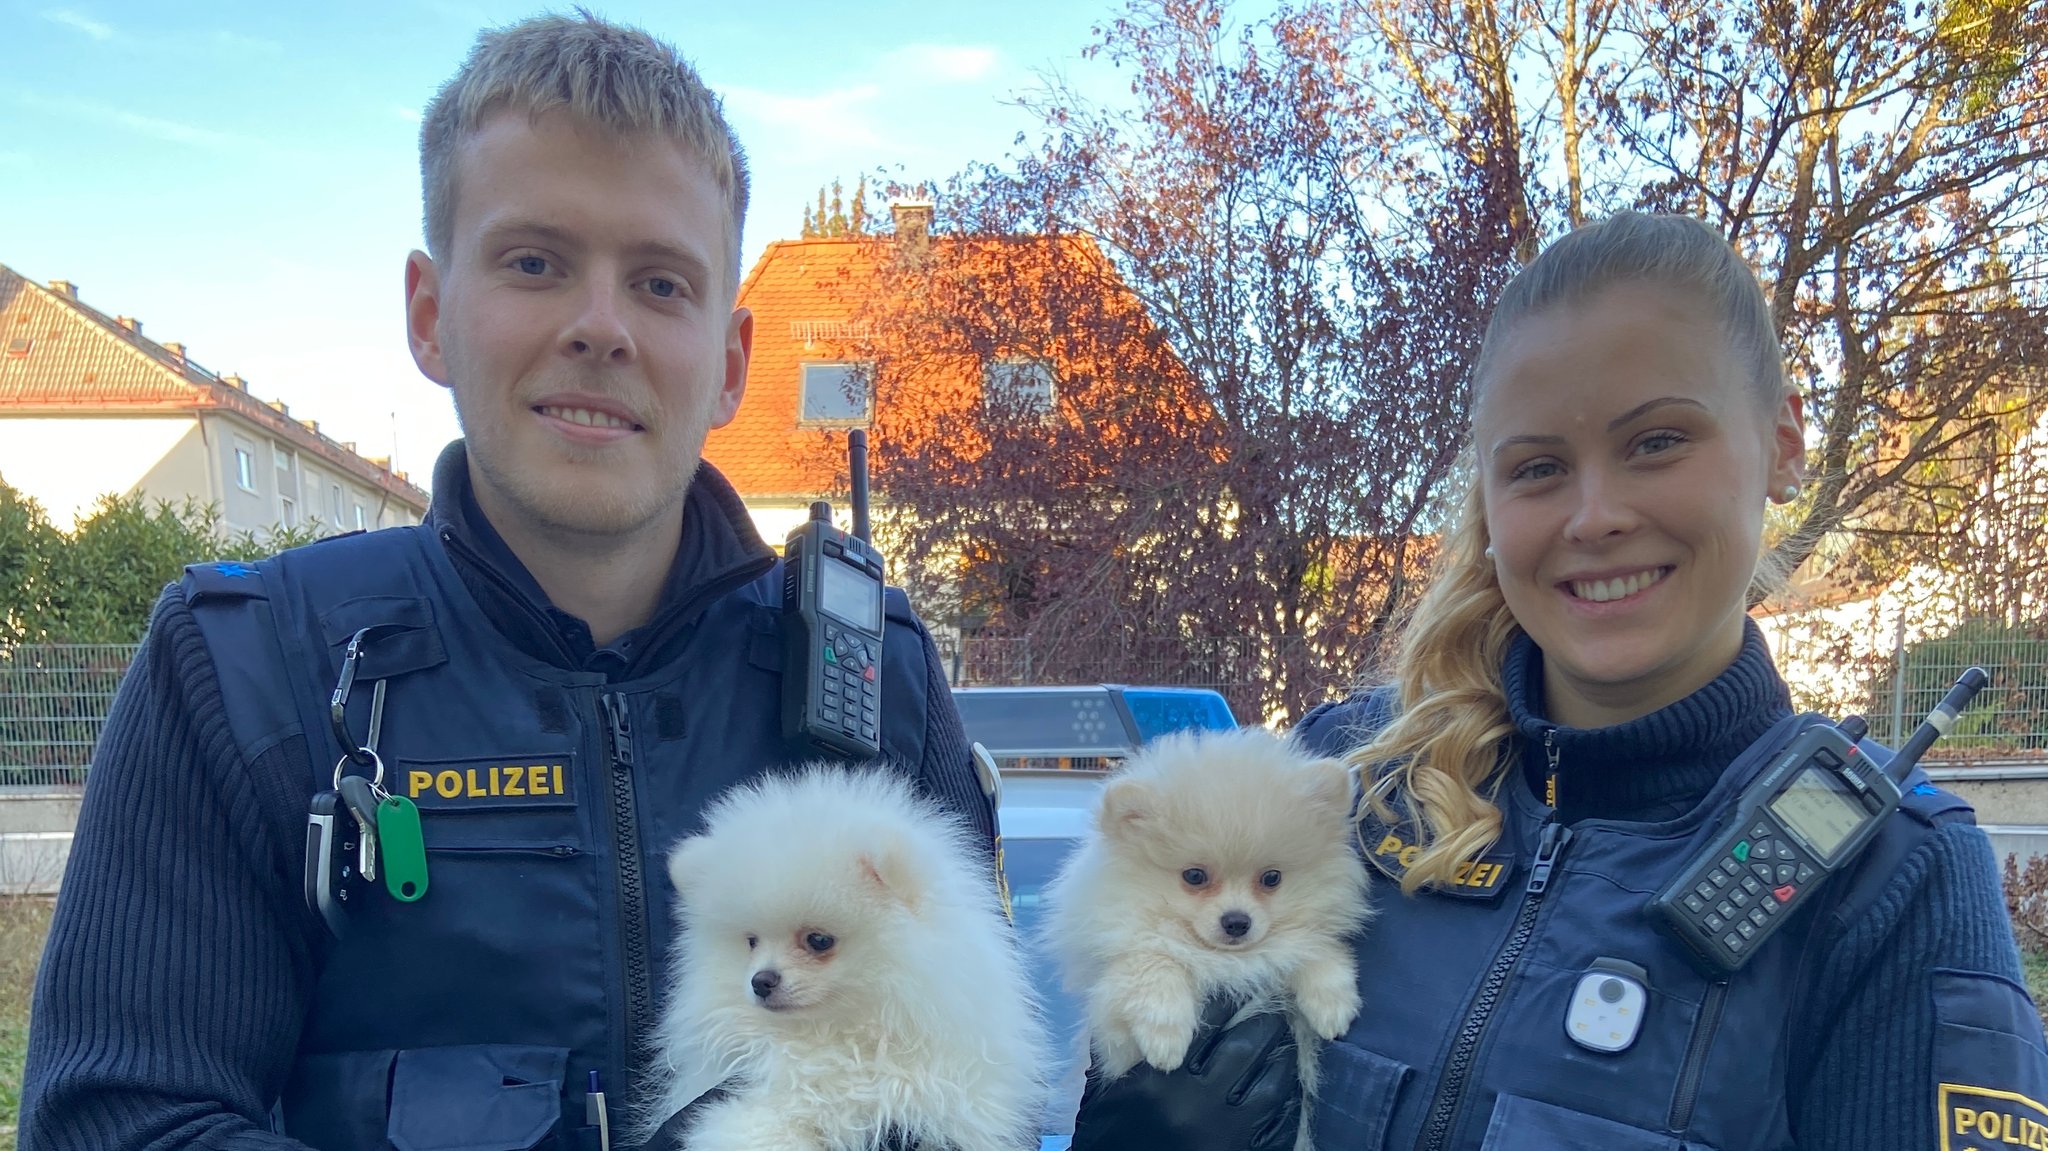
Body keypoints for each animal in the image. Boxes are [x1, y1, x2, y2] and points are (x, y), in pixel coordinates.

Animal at [1048, 725, 1368, 1138]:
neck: (1222, 960)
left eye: (1272, 878)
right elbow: (1153, 961)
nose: (1237, 922)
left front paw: (1333, 1004)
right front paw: (1166, 1037)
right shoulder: (1113, 1025)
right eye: (1194, 876)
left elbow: (1310, 946)